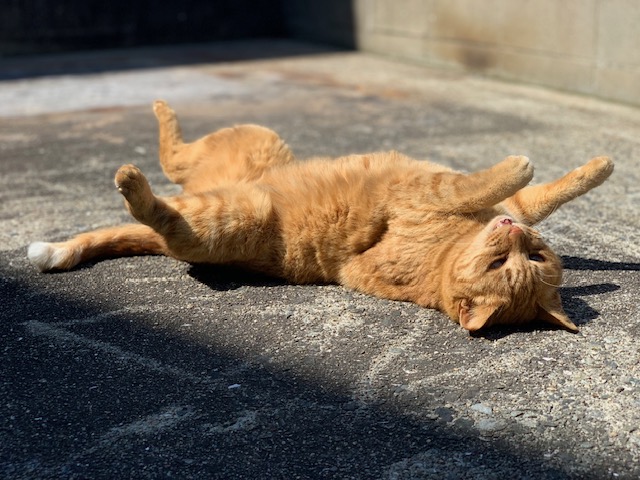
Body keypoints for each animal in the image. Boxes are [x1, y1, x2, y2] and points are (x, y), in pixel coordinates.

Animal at [28, 100, 616, 334]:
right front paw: (600, 165)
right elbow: (535, 191)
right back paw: (156, 114)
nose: (511, 234)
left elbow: (477, 183)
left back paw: (133, 177)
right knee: (173, 157)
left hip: (233, 207)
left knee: (162, 200)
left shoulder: (426, 193)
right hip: (255, 144)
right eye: (526, 256)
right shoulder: (479, 199)